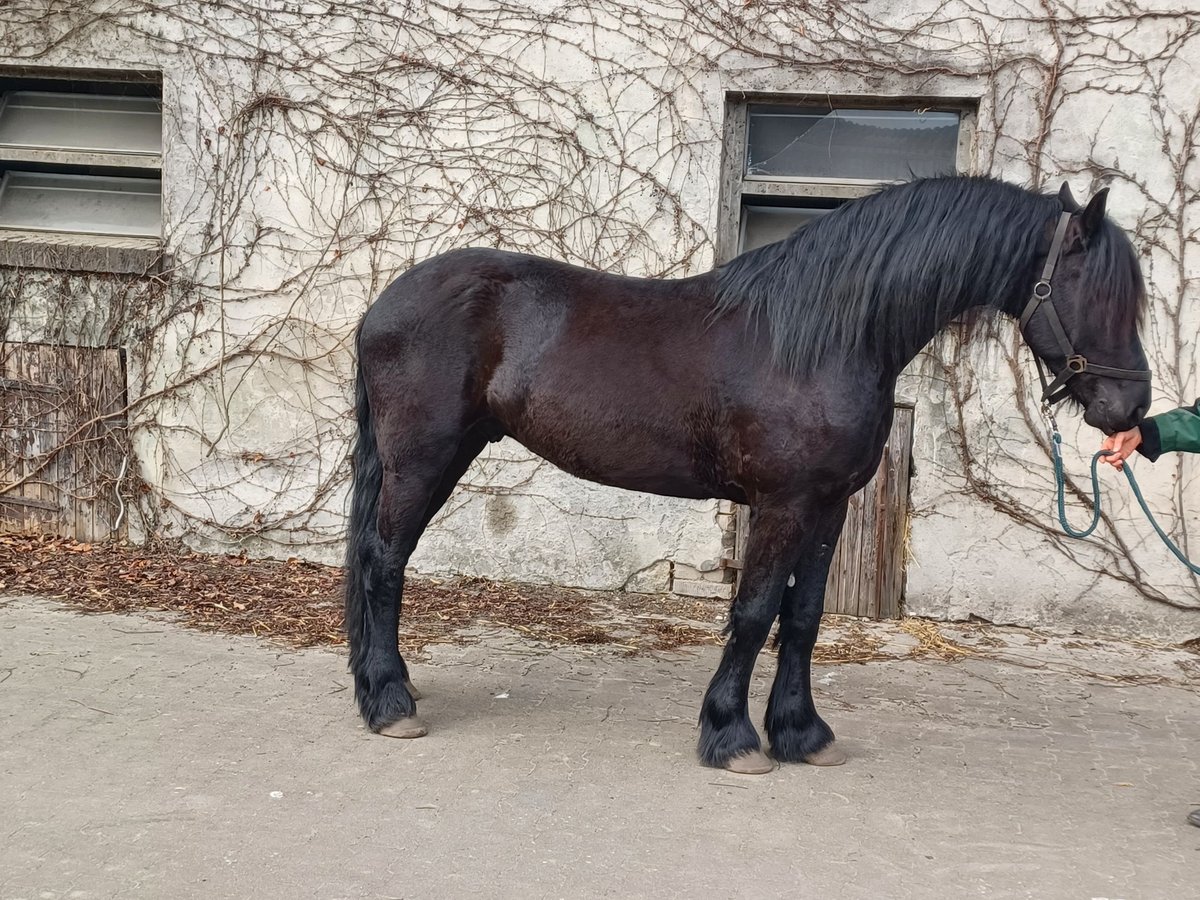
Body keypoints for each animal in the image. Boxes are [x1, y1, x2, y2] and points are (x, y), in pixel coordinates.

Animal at [343, 176, 1147, 777]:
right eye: (1097, 294)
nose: (1130, 409)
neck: (824, 336)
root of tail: (382, 305)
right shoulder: (783, 504)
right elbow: (755, 611)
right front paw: (732, 737)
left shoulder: (829, 506)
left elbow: (805, 616)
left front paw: (801, 732)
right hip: (424, 458)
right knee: (384, 562)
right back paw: (389, 704)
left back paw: (388, 688)